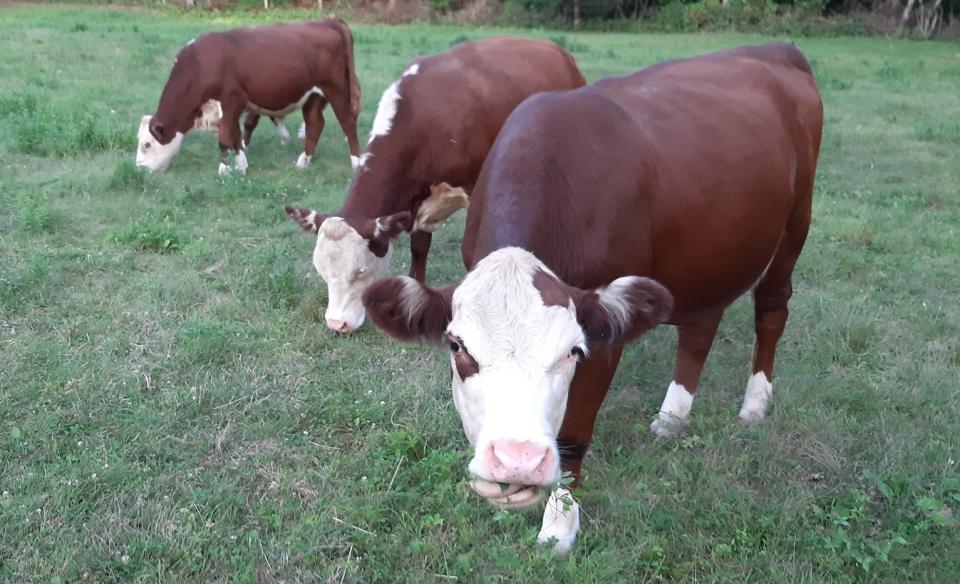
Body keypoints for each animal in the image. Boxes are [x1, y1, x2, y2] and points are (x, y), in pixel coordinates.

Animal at [135, 19, 360, 177]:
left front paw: (224, 170)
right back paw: (303, 161)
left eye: (147, 144)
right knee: (315, 124)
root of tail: (327, 22)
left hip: (336, 89)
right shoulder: (229, 109)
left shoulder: (232, 100)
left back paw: (356, 162)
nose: (138, 169)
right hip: (312, 96)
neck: (203, 63)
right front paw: (241, 165)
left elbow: (226, 138)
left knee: (348, 123)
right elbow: (235, 136)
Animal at [284, 36, 584, 336]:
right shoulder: (416, 200)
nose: (337, 324)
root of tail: (556, 49)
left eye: (360, 271)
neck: (424, 118)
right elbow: (419, 249)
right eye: (321, 270)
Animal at [360, 42, 824, 552]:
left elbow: (575, 436)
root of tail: (776, 49)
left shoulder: (604, 336)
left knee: (772, 311)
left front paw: (560, 524)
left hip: (794, 227)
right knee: (701, 326)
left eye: (572, 352)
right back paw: (673, 416)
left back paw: (755, 403)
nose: (518, 460)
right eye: (457, 346)